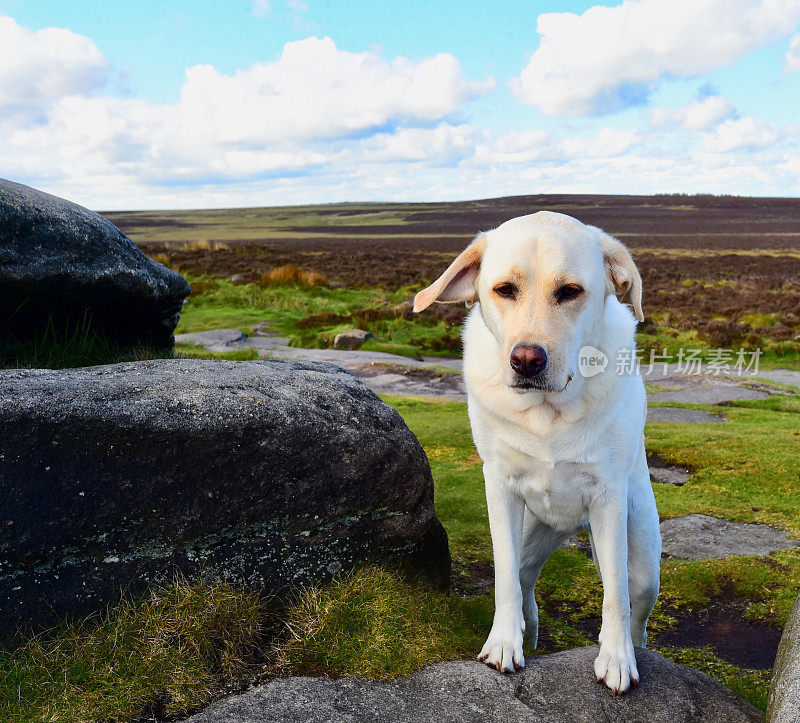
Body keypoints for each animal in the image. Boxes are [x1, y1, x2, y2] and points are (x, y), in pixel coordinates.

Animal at [416, 212, 660, 700]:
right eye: (504, 289)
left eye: (570, 291)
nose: (526, 360)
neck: (548, 413)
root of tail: (567, 526)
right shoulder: (500, 489)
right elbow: (505, 577)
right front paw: (503, 644)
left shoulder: (608, 499)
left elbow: (616, 596)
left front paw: (617, 659)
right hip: (534, 529)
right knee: (524, 575)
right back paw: (527, 628)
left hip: (642, 557)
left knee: (634, 599)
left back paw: (633, 647)